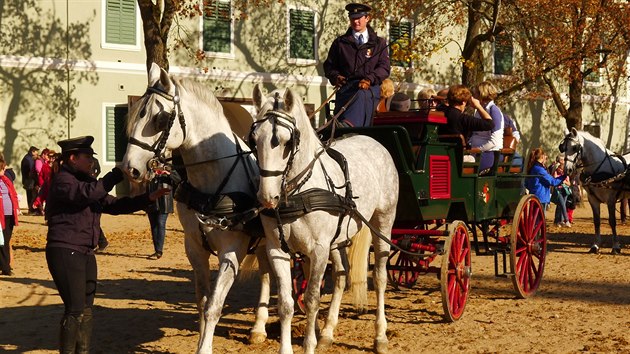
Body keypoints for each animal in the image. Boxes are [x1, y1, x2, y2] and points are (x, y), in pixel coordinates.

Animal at [123, 63, 272, 354]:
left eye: (159, 118)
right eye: (136, 114)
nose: (129, 168)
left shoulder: (231, 251)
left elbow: (215, 305)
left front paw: (205, 346)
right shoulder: (194, 248)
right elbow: (202, 302)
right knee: (265, 273)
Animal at [252, 86, 400, 354]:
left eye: (287, 142)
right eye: (255, 138)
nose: (267, 197)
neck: (299, 191)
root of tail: (373, 141)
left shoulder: (318, 250)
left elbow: (312, 300)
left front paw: (309, 345)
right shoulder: (277, 249)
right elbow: (286, 304)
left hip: (384, 222)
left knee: (380, 278)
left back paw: (380, 336)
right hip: (338, 239)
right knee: (341, 275)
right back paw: (329, 332)